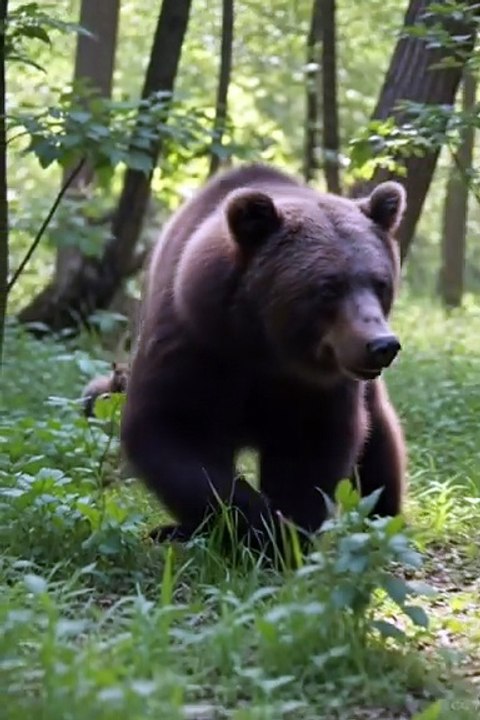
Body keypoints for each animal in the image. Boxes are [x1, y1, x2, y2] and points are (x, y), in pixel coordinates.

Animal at [121, 163, 407, 556]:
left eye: (380, 283)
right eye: (328, 287)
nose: (381, 344)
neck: (265, 348)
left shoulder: (315, 389)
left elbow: (310, 452)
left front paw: (285, 536)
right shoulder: (194, 348)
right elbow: (173, 433)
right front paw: (255, 524)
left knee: (379, 441)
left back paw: (382, 518)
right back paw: (175, 531)